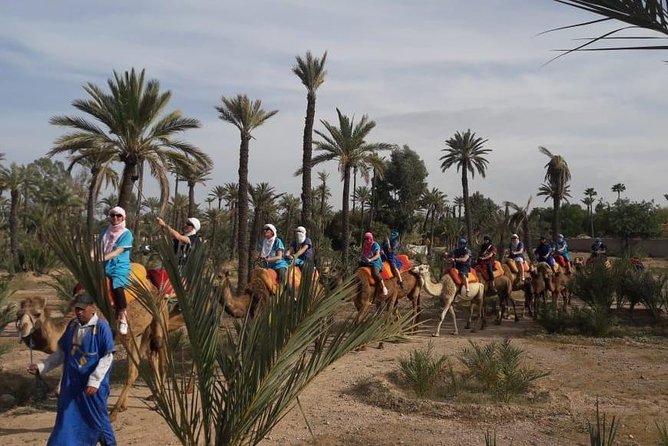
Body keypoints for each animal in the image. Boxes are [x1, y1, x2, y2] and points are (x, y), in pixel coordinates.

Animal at [16, 264, 183, 422]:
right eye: (18, 314)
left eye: (37, 313)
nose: (22, 328)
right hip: (140, 331)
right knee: (147, 359)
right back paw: (130, 404)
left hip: (158, 317)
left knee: (154, 359)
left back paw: (118, 411)